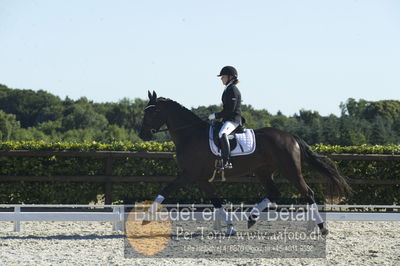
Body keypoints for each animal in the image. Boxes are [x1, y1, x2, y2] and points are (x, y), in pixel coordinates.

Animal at [138, 91, 350, 235]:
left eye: (152, 112)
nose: (142, 134)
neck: (190, 134)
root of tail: (291, 137)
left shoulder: (190, 175)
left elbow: (166, 190)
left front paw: (146, 218)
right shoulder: (202, 179)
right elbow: (216, 201)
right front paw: (230, 227)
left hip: (290, 170)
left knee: (308, 193)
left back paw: (320, 228)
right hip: (263, 171)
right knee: (275, 192)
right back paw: (252, 218)